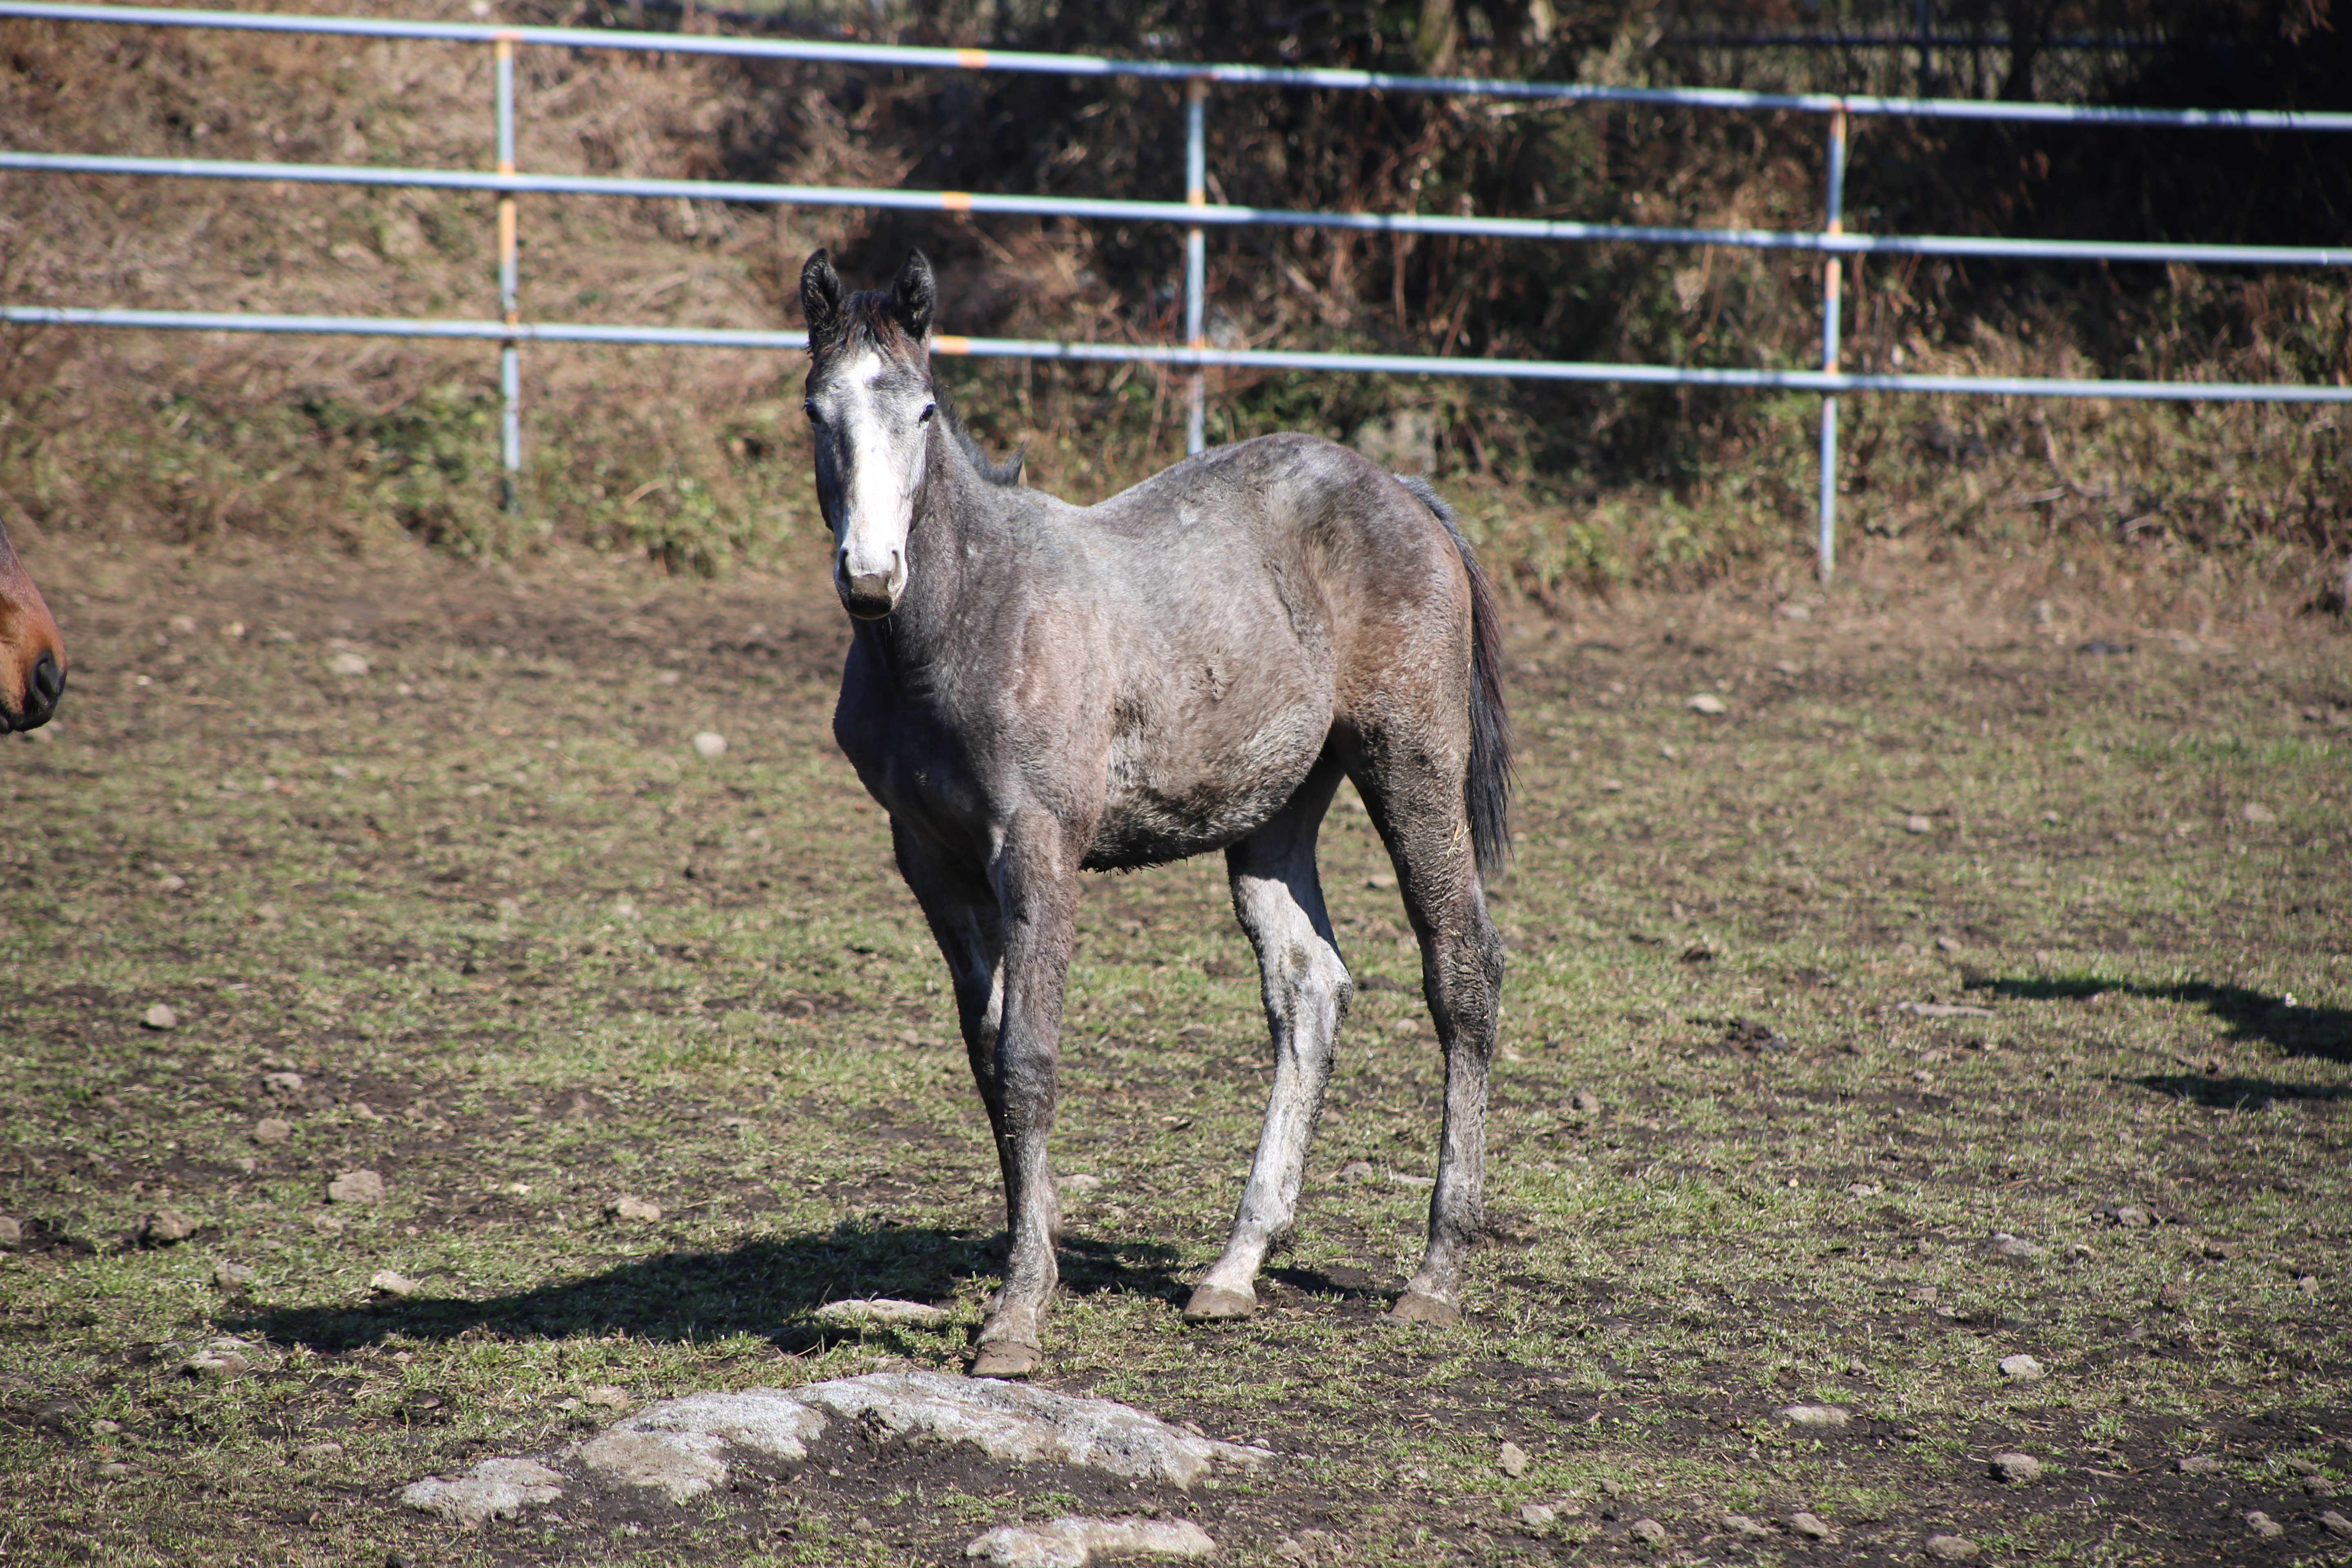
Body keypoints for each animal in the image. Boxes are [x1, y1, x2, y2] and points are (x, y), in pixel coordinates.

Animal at [804, 245, 1505, 1373]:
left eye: (922, 409)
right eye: (817, 410)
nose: (871, 577)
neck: (959, 626)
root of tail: (1397, 489)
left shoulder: (1038, 849)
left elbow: (1029, 1058)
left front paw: (1015, 1316)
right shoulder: (931, 863)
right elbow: (988, 1062)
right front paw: (1033, 1257)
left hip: (1411, 764)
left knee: (1462, 971)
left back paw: (1434, 1275)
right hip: (1273, 810)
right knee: (1308, 988)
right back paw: (1233, 1269)